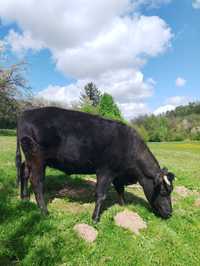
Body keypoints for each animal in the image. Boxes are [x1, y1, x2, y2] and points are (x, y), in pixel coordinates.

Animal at [15, 107, 174, 221]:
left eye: (170, 191)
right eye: (163, 192)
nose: (169, 213)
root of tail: (26, 112)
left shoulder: (118, 173)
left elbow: (120, 189)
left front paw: (123, 206)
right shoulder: (106, 171)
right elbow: (101, 194)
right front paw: (95, 218)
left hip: (29, 159)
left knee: (24, 172)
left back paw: (24, 198)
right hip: (37, 159)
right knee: (37, 182)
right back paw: (44, 211)